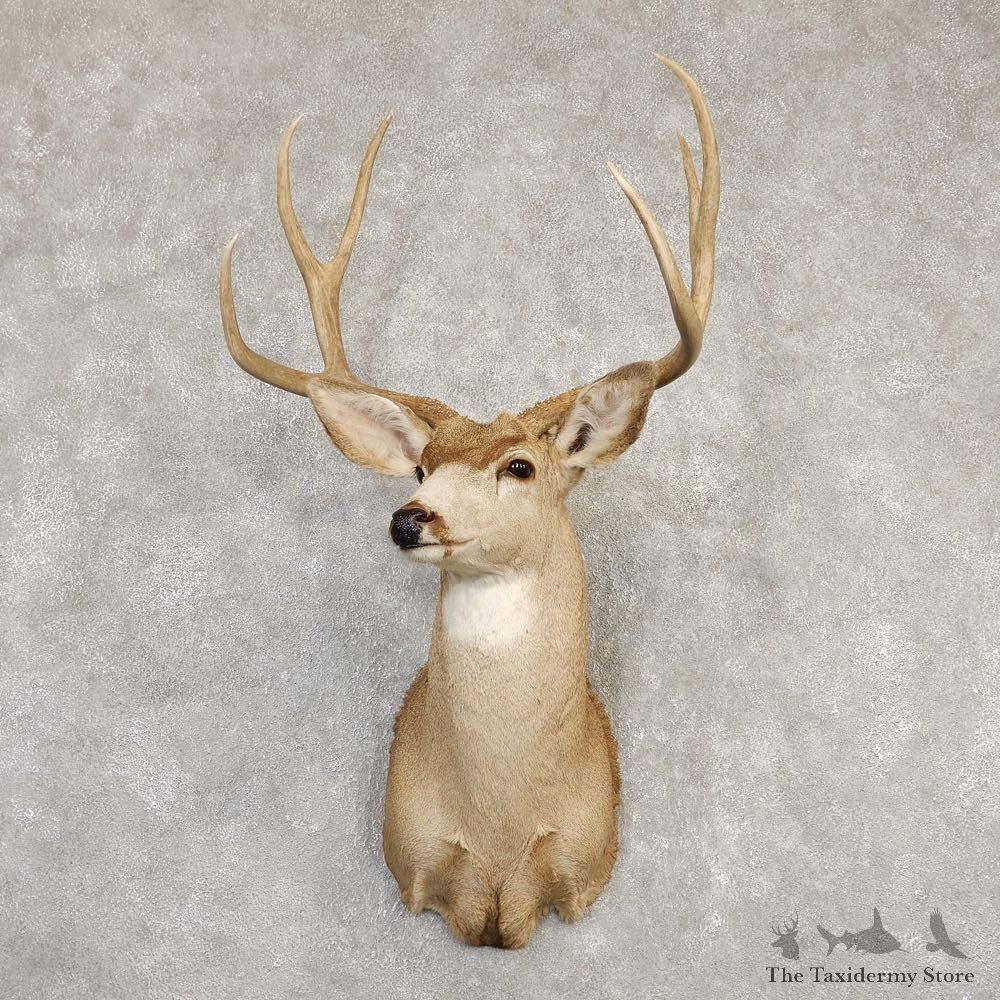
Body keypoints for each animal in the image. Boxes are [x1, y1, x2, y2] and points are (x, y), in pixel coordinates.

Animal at [218, 55, 719, 949]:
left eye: (520, 466)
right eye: (419, 465)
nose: (408, 517)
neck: (497, 823)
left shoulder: (579, 869)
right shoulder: (417, 860)